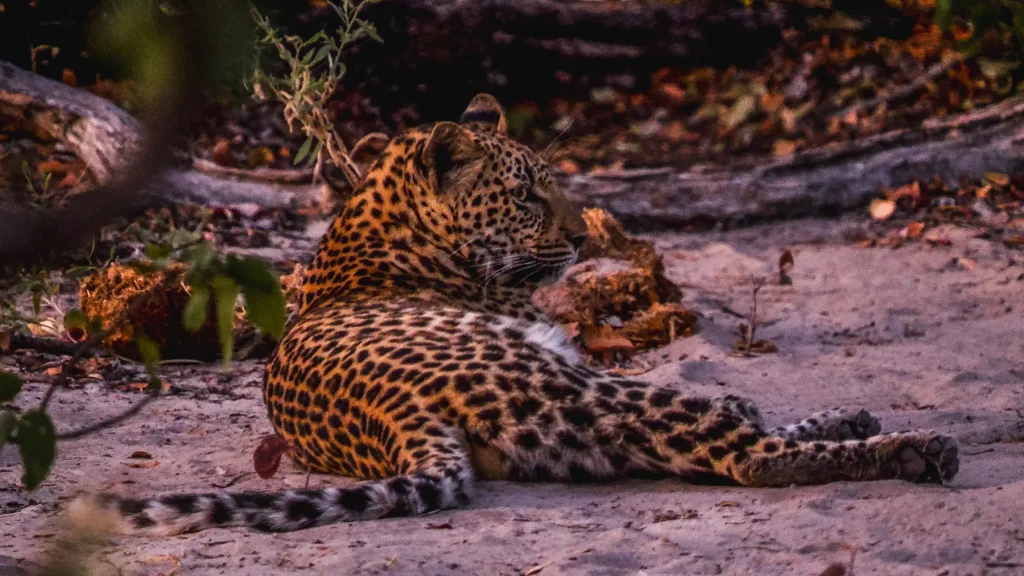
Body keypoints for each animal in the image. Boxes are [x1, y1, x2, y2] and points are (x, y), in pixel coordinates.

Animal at [74, 94, 958, 532]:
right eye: (528, 195)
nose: (582, 234)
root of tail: (397, 420)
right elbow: (746, 416)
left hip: (577, 431)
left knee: (723, 436)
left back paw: (858, 424)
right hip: (577, 388)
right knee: (745, 452)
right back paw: (913, 449)